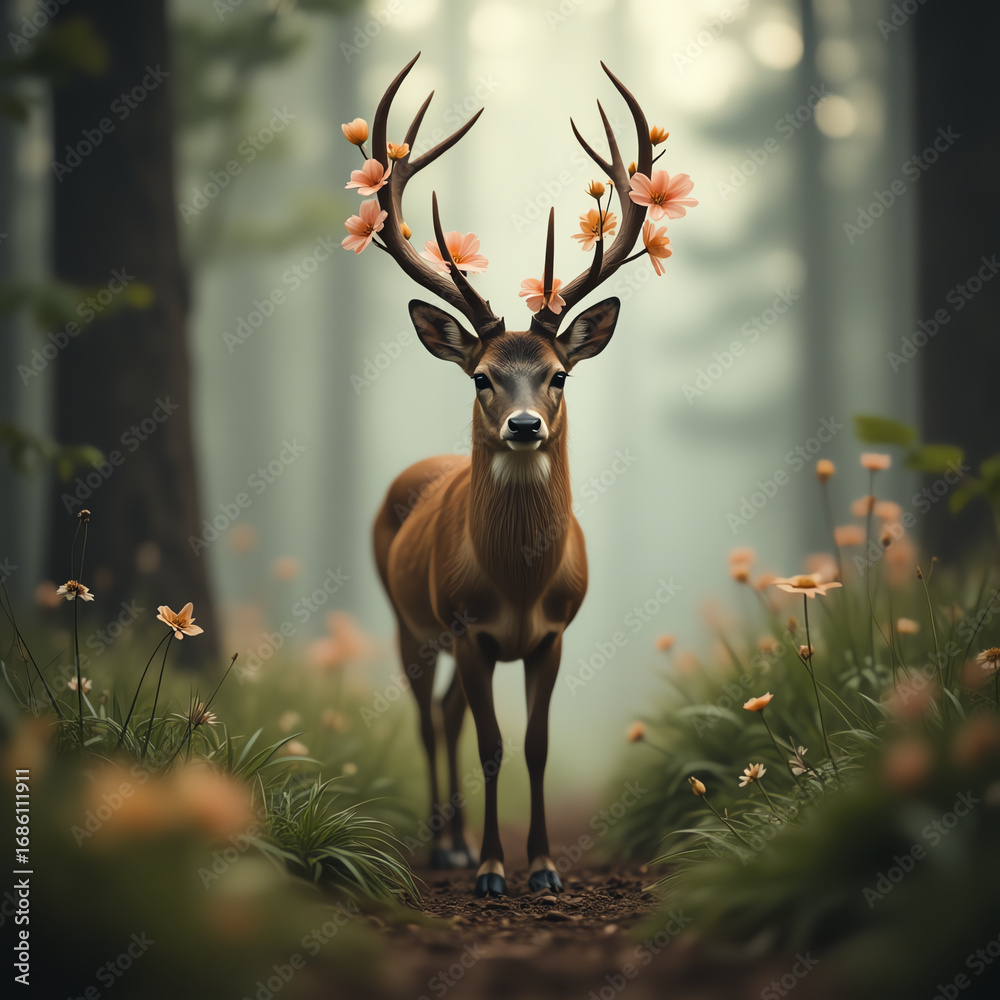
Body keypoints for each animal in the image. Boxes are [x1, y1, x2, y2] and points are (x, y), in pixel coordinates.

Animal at [346, 54, 693, 897]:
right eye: (481, 376)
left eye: (559, 374)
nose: (525, 425)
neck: (517, 583)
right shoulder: (468, 626)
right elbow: (493, 743)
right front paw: (491, 869)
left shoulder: (554, 631)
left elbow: (533, 744)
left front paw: (541, 865)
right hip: (408, 618)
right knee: (428, 716)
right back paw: (446, 848)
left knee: (443, 714)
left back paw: (456, 843)